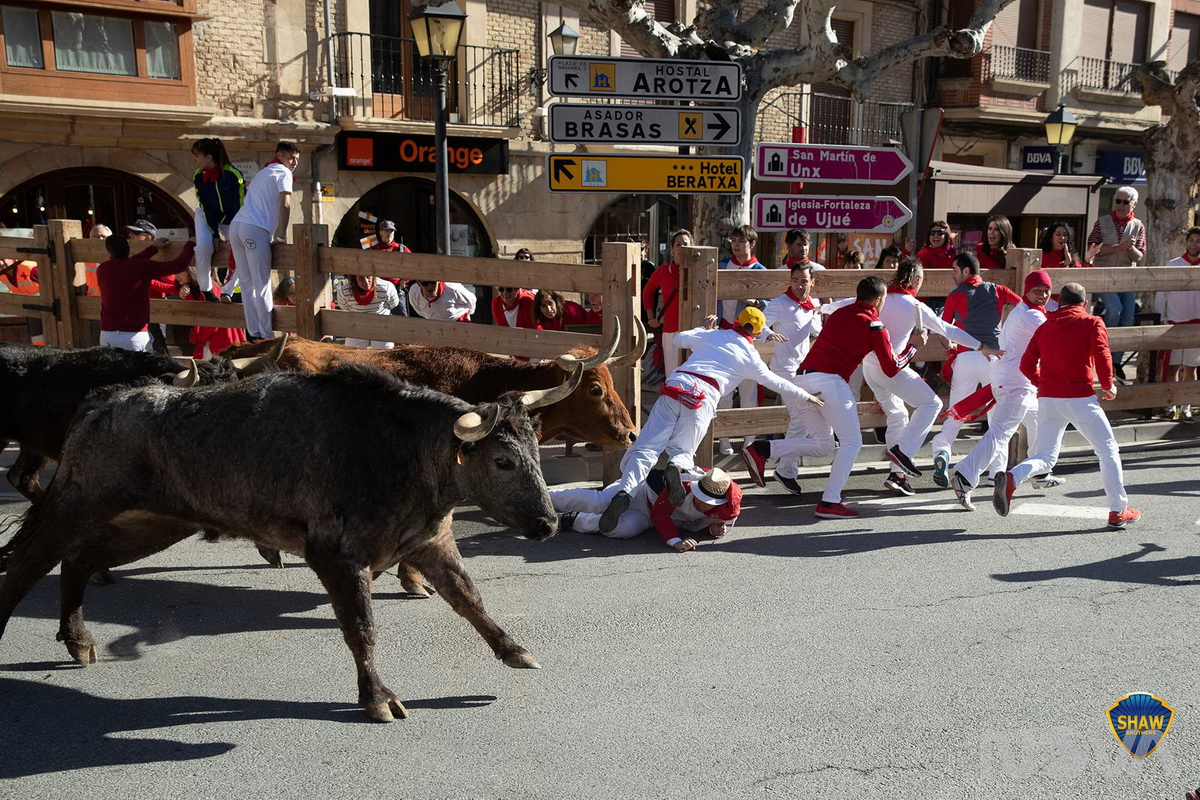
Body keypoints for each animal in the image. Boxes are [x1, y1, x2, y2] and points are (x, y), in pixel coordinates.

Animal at [0, 367, 566, 724]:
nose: (546, 524)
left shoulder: (431, 542)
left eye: (537, 452)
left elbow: (470, 599)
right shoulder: (337, 558)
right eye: (502, 461)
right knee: (27, 564)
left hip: (151, 524)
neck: (402, 451)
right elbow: (362, 629)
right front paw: (377, 699)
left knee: (79, 561)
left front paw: (514, 650)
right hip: (75, 503)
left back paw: (78, 638)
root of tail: (103, 400)